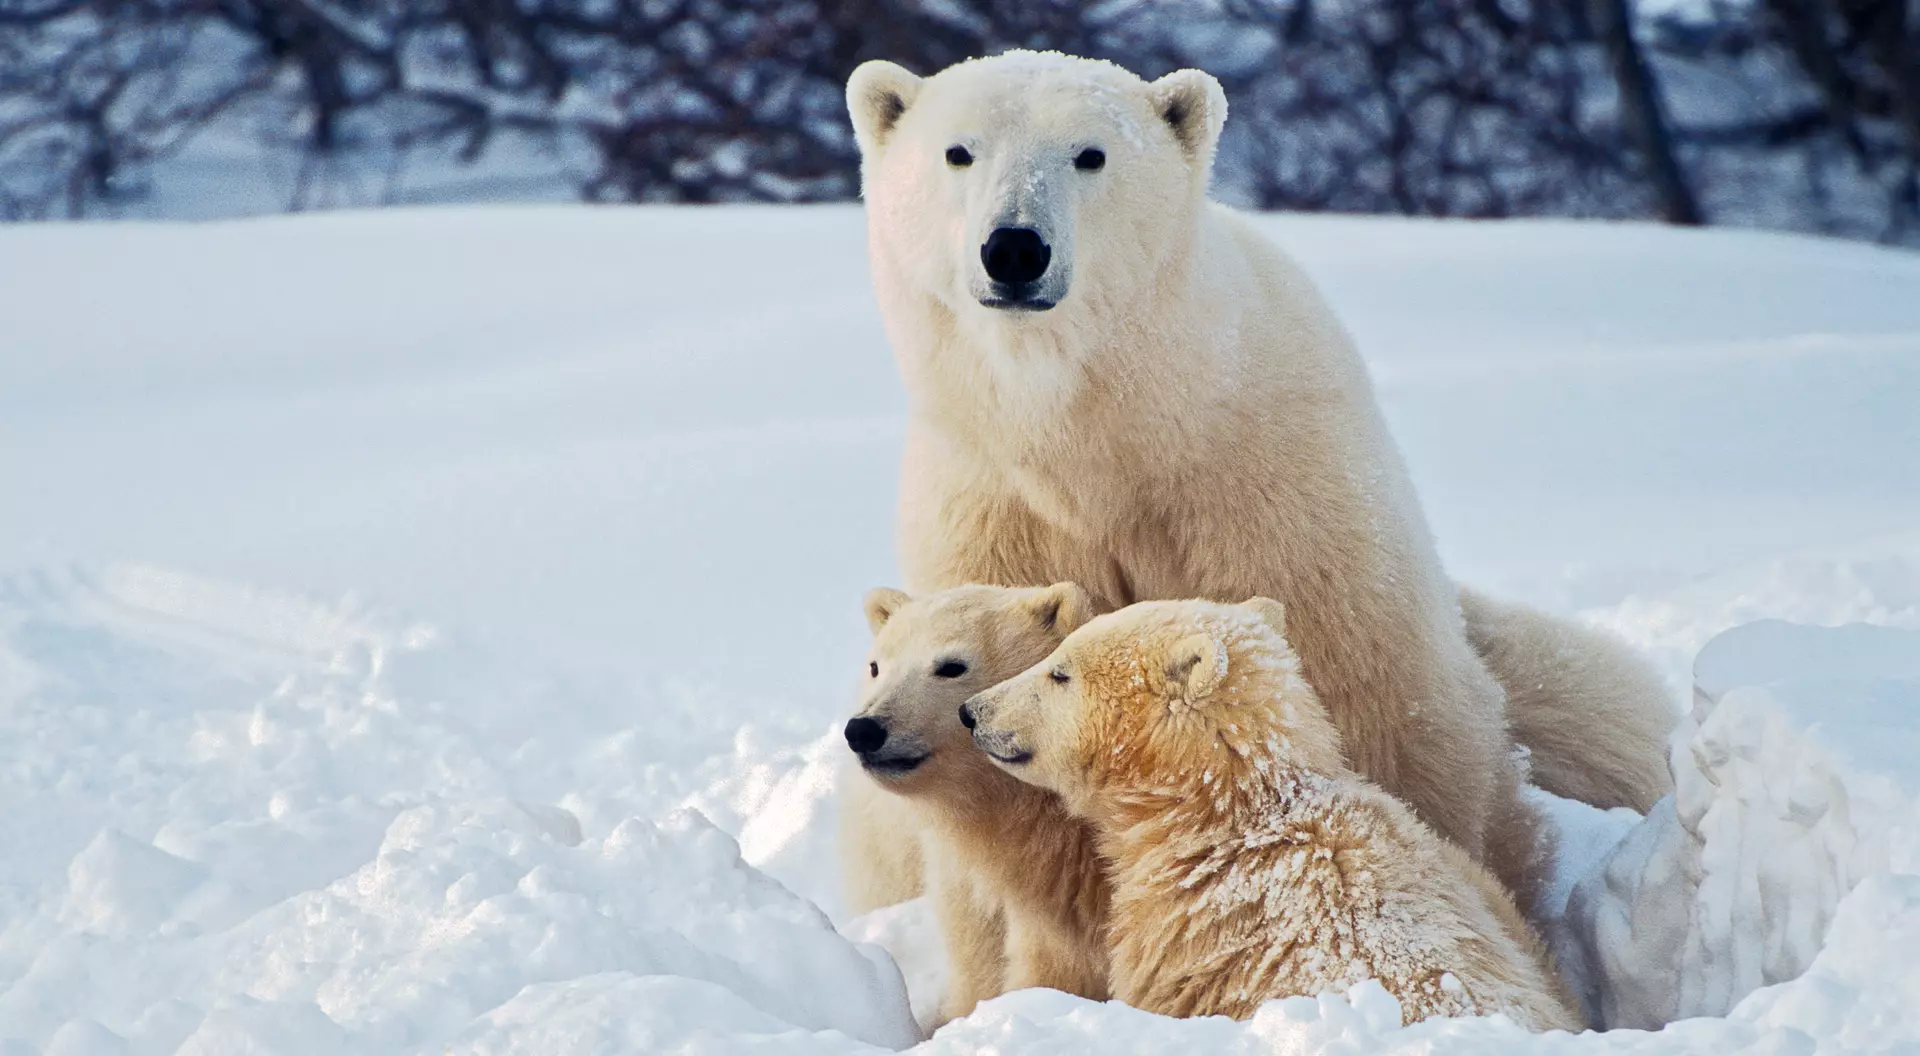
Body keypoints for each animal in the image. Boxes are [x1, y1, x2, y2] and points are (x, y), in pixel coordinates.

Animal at [843, 49, 1676, 902]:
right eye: (959, 152)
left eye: (1089, 154)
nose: (1014, 248)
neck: (1105, 435)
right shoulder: (994, 508)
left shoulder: (1265, 486)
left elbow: (1370, 698)